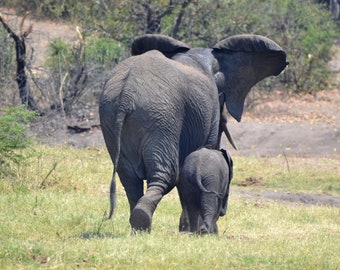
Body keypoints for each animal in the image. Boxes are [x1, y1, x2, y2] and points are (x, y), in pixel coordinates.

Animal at [98, 33, 286, 232]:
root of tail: (126, 95)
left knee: (129, 179)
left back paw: (138, 227)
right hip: (162, 116)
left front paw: (187, 229)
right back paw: (143, 221)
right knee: (167, 175)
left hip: (111, 116)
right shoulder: (210, 111)